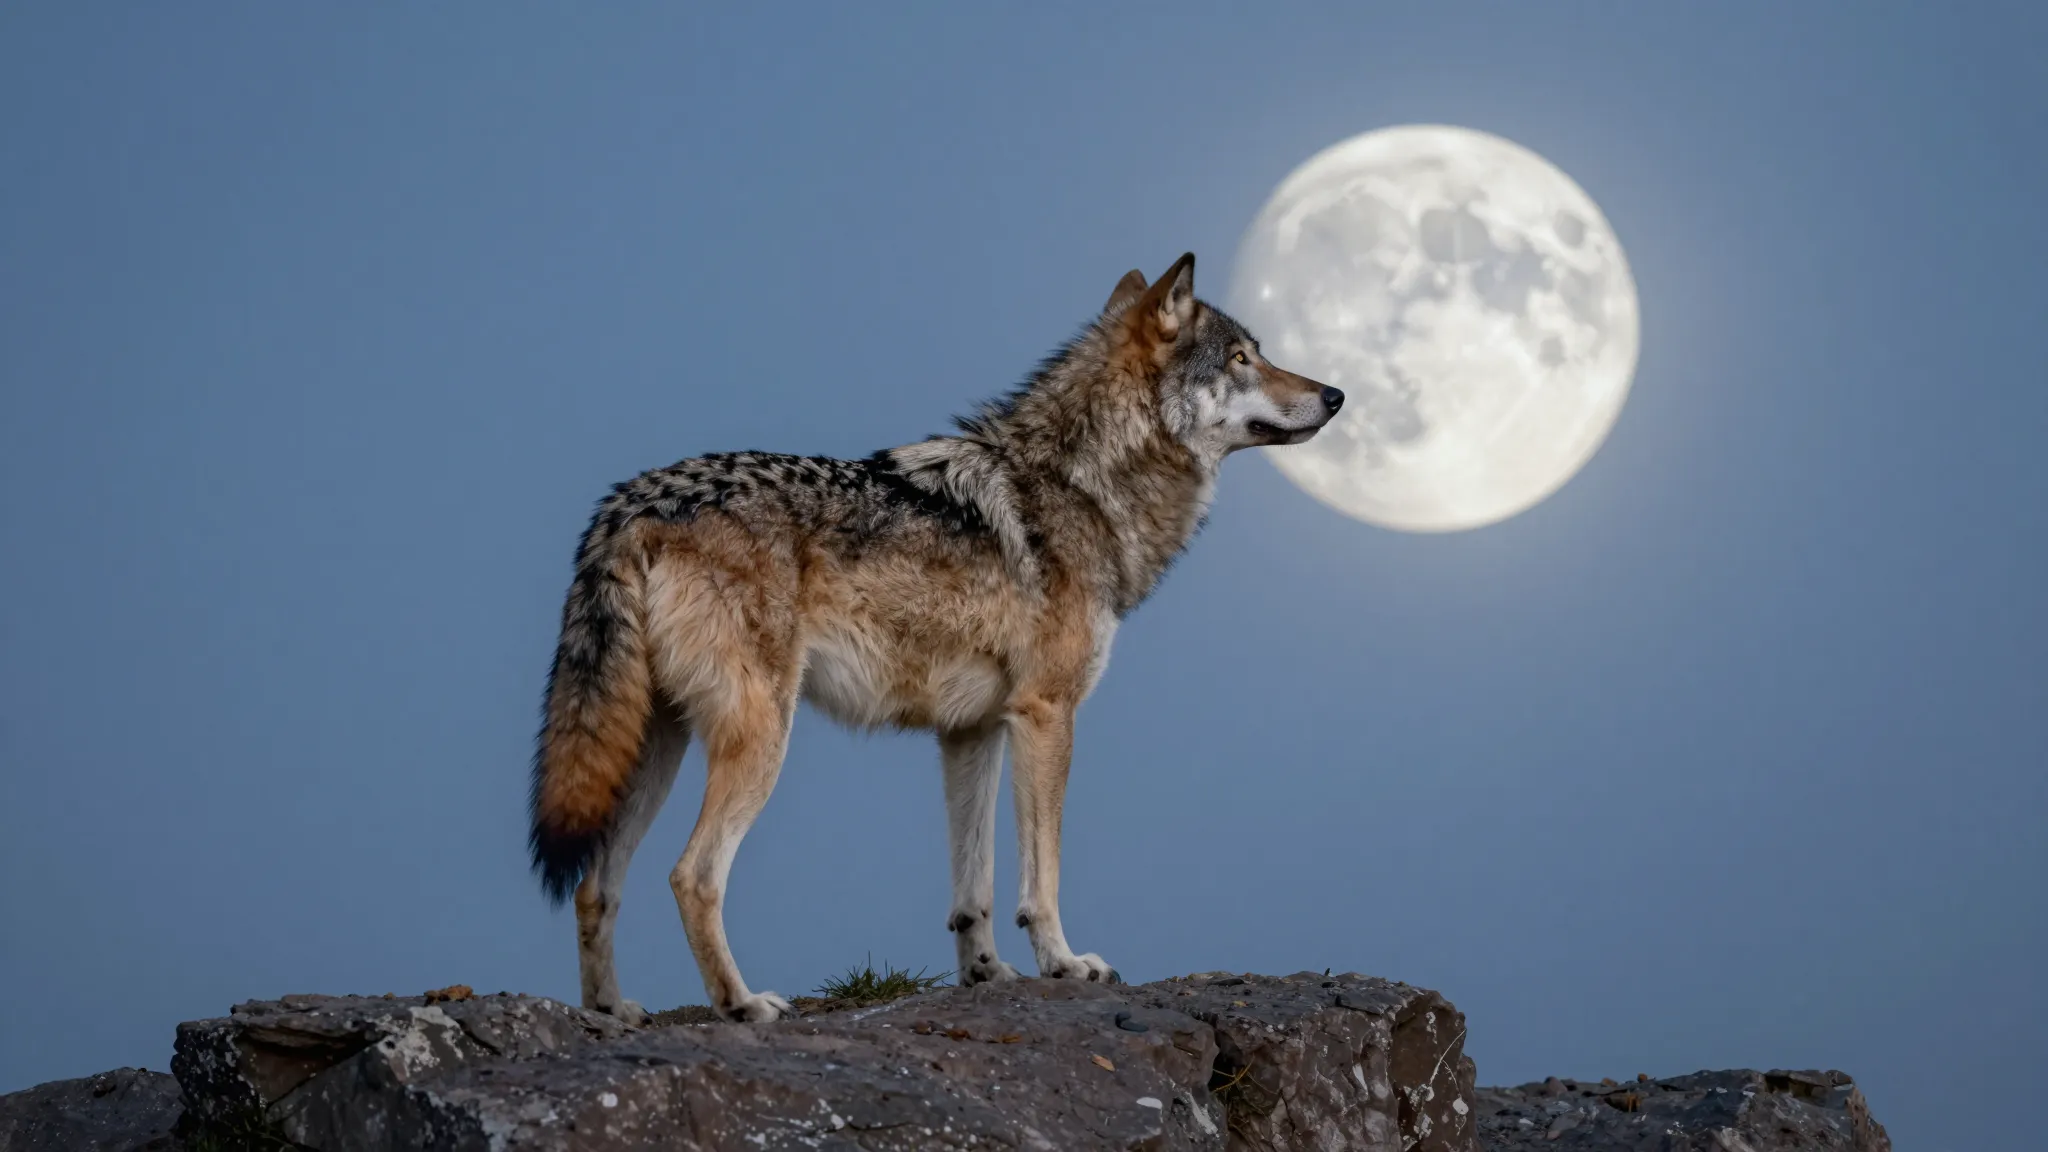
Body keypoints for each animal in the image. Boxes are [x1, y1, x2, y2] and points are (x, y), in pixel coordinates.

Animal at [527, 253, 1342, 1023]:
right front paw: (1064, 963)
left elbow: (973, 888)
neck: (1083, 484)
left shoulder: (971, 730)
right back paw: (742, 1005)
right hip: (758, 737)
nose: (1336, 395)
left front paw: (987, 975)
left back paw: (611, 1012)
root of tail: (630, 506)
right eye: (1242, 358)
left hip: (653, 746)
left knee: (595, 887)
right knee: (691, 876)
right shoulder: (1046, 714)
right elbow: (1041, 875)